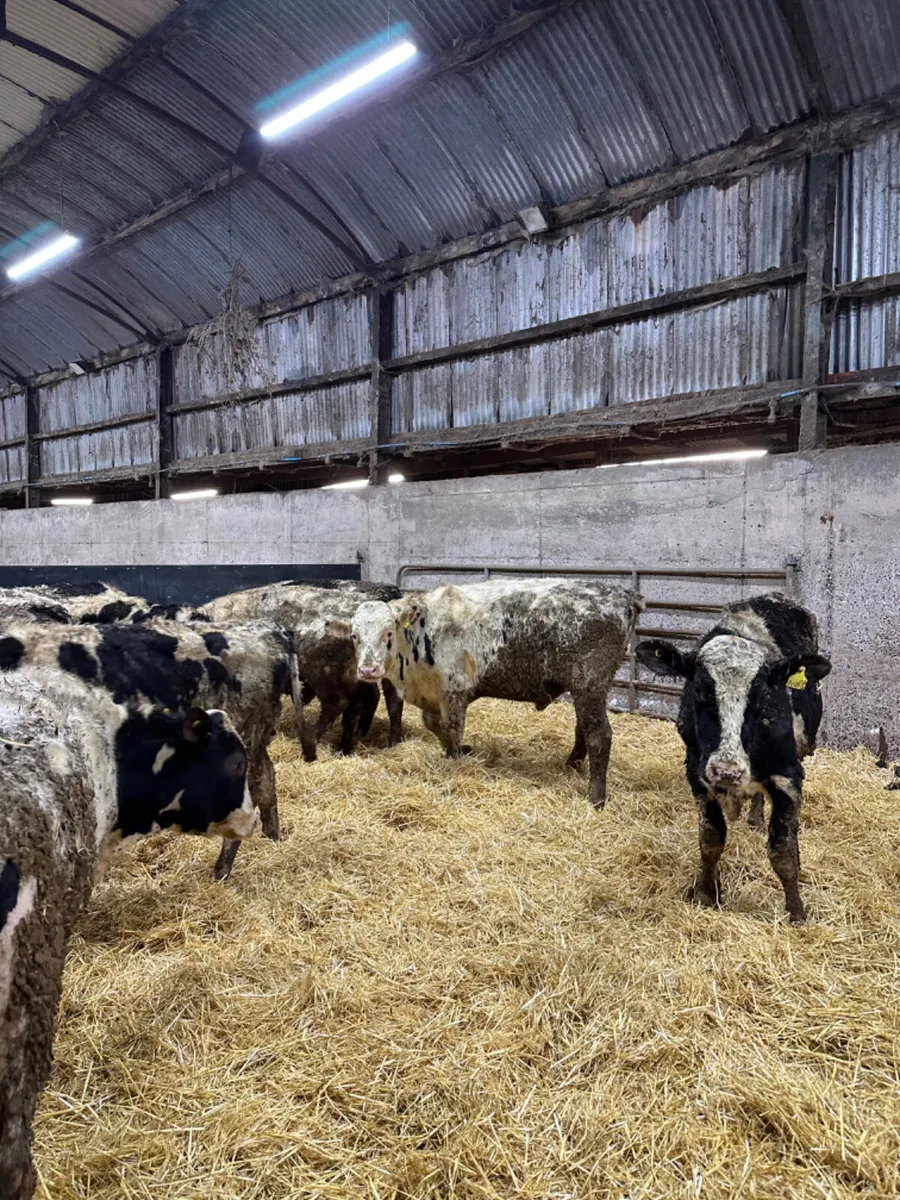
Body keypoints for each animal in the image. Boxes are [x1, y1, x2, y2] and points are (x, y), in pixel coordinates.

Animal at [346, 578, 643, 809]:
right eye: (354, 636)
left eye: (388, 632)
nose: (368, 669)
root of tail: (622, 594)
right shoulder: (434, 693)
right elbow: (433, 724)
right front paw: (459, 752)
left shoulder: (454, 690)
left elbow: (451, 728)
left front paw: (455, 760)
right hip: (586, 690)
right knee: (583, 728)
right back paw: (570, 765)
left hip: (589, 684)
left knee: (599, 736)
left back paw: (595, 798)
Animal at [635, 593, 831, 923]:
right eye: (700, 690)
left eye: (763, 695)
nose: (727, 771)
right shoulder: (698, 773)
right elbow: (711, 839)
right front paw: (705, 894)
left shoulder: (788, 775)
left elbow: (783, 850)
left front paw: (796, 912)